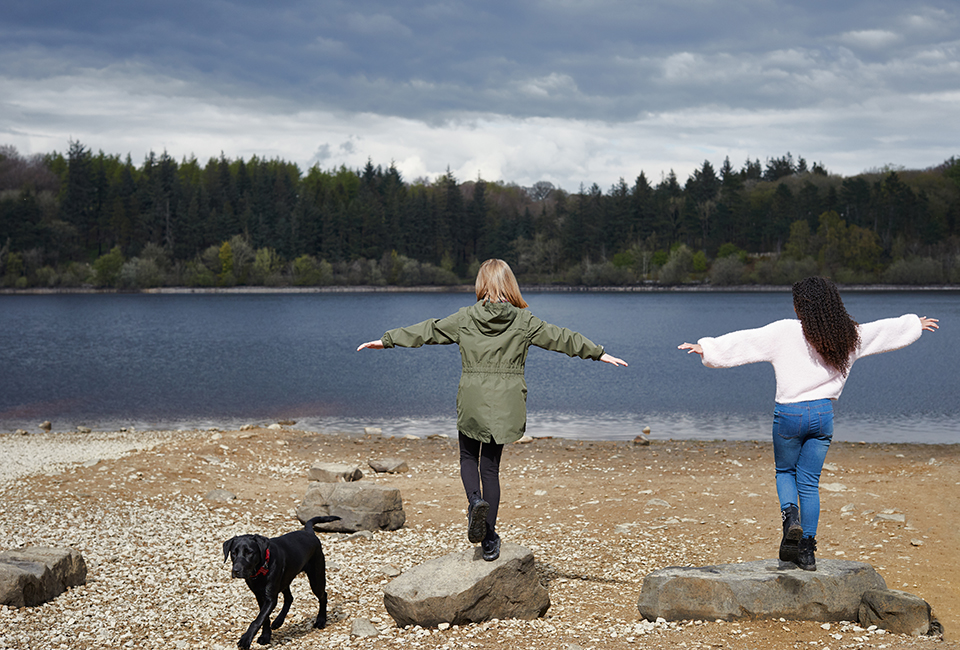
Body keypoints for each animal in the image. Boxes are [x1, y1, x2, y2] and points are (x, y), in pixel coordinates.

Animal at [223, 512, 344, 644]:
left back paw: (321, 620)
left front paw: (246, 639)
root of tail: (309, 532)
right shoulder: (260, 596)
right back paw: (278, 621)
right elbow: (264, 618)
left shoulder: (270, 598)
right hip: (285, 579)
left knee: (323, 596)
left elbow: (258, 619)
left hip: (316, 578)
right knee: (290, 598)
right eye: (233, 553)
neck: (262, 569)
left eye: (249, 552)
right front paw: (265, 636)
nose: (236, 571)